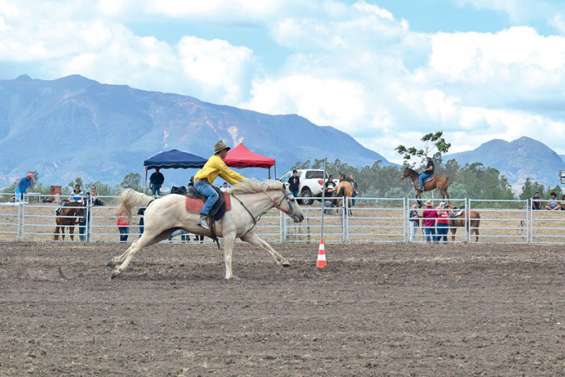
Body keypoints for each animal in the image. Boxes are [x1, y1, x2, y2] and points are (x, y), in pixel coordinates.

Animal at [108, 179, 306, 280]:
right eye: (292, 199)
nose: (301, 216)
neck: (243, 204)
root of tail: (153, 201)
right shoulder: (229, 235)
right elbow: (228, 256)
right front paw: (229, 276)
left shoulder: (247, 234)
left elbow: (266, 246)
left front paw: (284, 261)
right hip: (152, 232)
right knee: (135, 247)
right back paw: (118, 270)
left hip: (160, 234)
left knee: (134, 245)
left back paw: (114, 261)